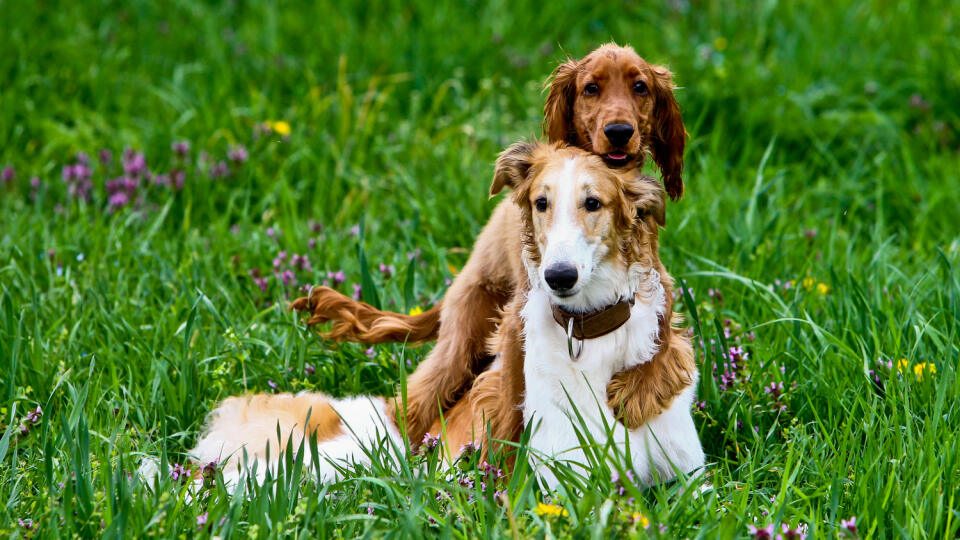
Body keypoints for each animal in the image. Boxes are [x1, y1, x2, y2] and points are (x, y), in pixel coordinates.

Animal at [288, 43, 692, 448]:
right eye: (591, 88)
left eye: (640, 87)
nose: (619, 131)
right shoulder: (519, 319)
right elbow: (512, 399)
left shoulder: (654, 275)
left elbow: (666, 332)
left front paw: (638, 389)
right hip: (464, 335)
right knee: (415, 401)